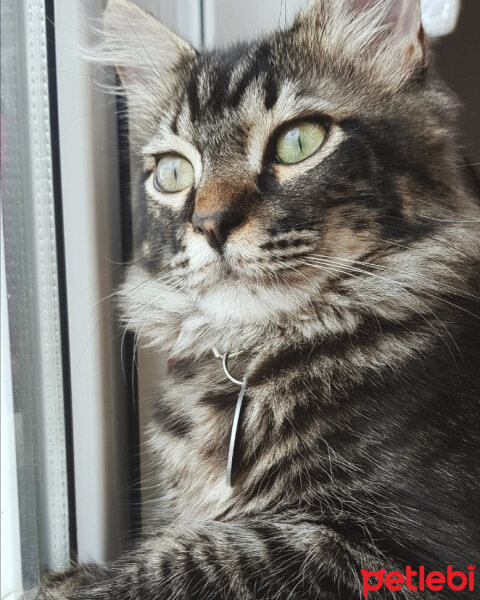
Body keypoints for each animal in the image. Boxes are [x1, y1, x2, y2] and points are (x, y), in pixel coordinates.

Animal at [41, 0, 480, 596]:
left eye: (300, 141)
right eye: (173, 172)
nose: (210, 224)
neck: (249, 356)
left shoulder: (410, 545)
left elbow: (212, 553)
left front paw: (75, 581)